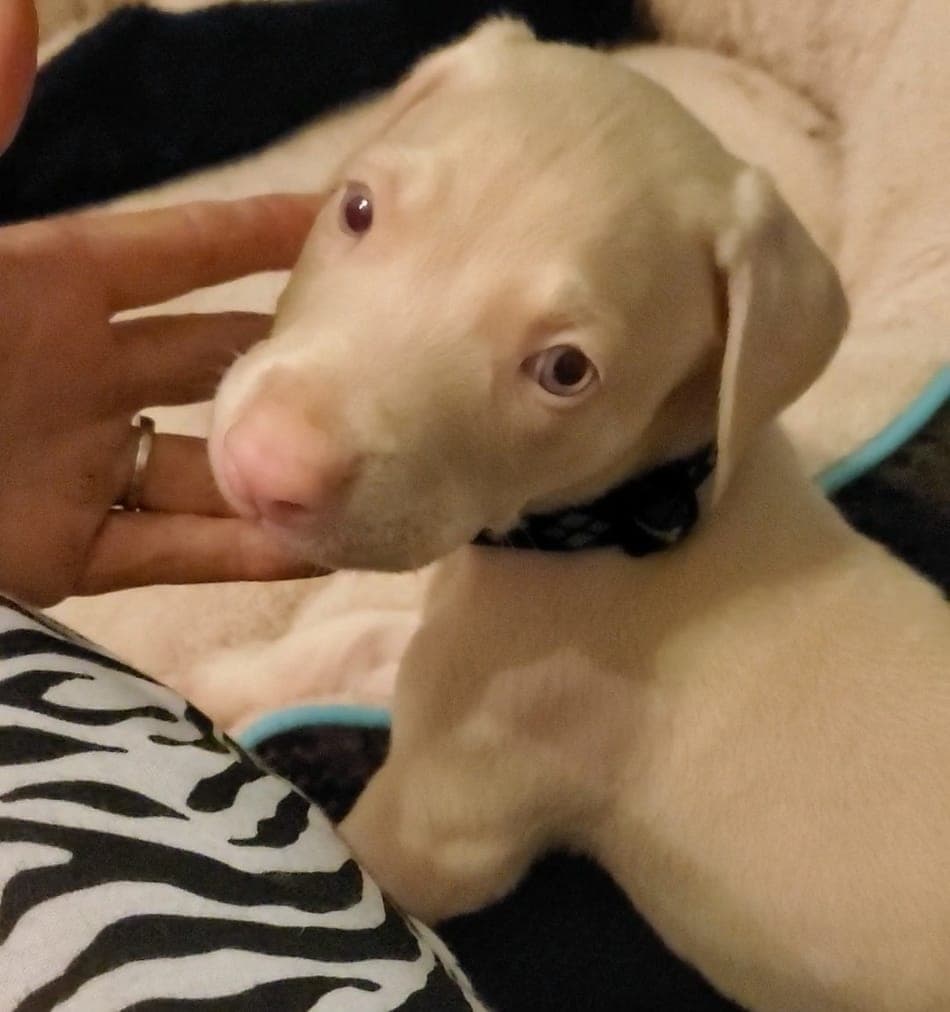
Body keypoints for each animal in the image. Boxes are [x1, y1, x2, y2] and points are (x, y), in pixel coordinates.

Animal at [209, 21, 950, 1011]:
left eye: (565, 371)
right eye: (358, 209)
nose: (264, 468)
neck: (637, 518)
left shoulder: (446, 822)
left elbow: (371, 859)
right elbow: (360, 640)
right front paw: (230, 679)